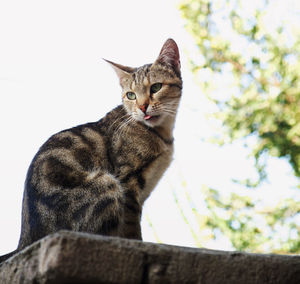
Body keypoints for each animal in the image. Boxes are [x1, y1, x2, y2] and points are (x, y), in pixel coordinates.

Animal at [0, 37, 182, 262]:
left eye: (156, 87)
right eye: (131, 95)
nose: (142, 107)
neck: (160, 133)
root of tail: (24, 242)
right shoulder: (128, 184)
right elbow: (131, 228)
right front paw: (139, 246)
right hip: (106, 183)